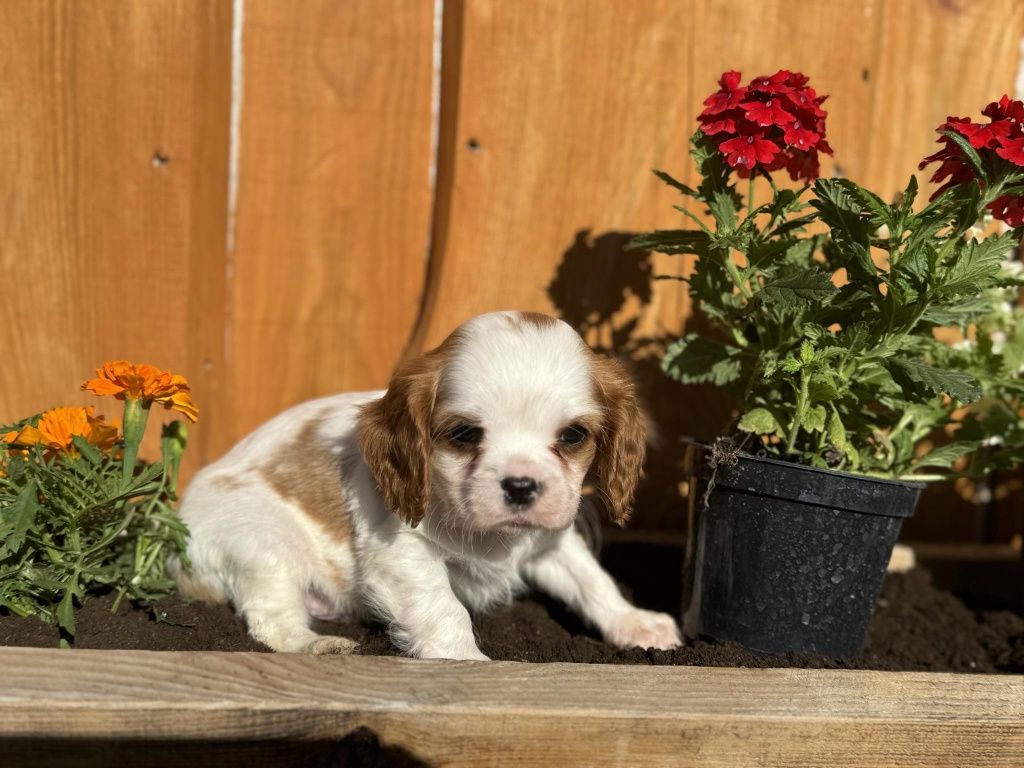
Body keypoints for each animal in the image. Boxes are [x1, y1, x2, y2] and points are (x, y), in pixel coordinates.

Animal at [173, 309, 684, 659]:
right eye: (465, 434)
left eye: (573, 436)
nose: (521, 486)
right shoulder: (402, 554)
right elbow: (445, 608)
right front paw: (467, 661)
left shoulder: (551, 539)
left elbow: (592, 580)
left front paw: (636, 624)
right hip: (264, 543)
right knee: (272, 620)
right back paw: (320, 645)